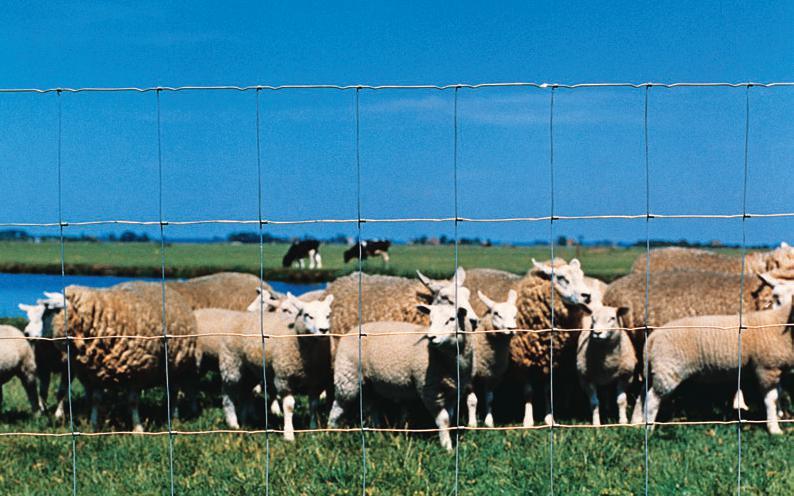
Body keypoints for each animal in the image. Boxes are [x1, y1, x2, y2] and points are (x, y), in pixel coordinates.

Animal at [35, 284, 198, 432]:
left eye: (50, 312)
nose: (34, 336)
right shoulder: (96, 373)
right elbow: (96, 400)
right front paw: (93, 426)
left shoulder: (136, 371)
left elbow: (132, 402)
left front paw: (137, 429)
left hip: (177, 366)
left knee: (174, 393)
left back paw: (174, 417)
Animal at [200, 292, 336, 440]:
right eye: (307, 315)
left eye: (328, 315)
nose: (324, 330)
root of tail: (241, 315)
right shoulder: (283, 378)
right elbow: (289, 406)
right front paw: (288, 434)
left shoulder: (315, 381)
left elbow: (313, 405)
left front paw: (313, 429)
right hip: (231, 363)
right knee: (227, 393)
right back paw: (233, 423)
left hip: (251, 370)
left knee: (246, 392)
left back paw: (247, 420)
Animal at [326, 302, 474, 450]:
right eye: (430, 320)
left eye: (451, 319)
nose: (431, 337)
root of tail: (353, 330)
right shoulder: (430, 391)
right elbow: (443, 420)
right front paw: (447, 448)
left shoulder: (453, 392)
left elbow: (449, 418)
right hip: (348, 375)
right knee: (338, 406)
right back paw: (330, 432)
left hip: (369, 383)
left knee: (370, 407)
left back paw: (376, 433)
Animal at [464, 288, 520, 428]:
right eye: (496, 313)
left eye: (515, 315)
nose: (512, 329)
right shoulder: (469, 376)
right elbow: (472, 400)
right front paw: (472, 424)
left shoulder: (492, 375)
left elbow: (489, 399)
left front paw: (489, 422)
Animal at [644, 294, 792, 434]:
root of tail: (653, 336)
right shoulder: (767, 367)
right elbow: (771, 399)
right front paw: (774, 429)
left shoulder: (777, 368)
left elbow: (778, 393)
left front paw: (779, 416)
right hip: (669, 369)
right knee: (652, 399)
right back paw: (649, 430)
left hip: (657, 369)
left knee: (642, 396)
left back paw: (639, 425)